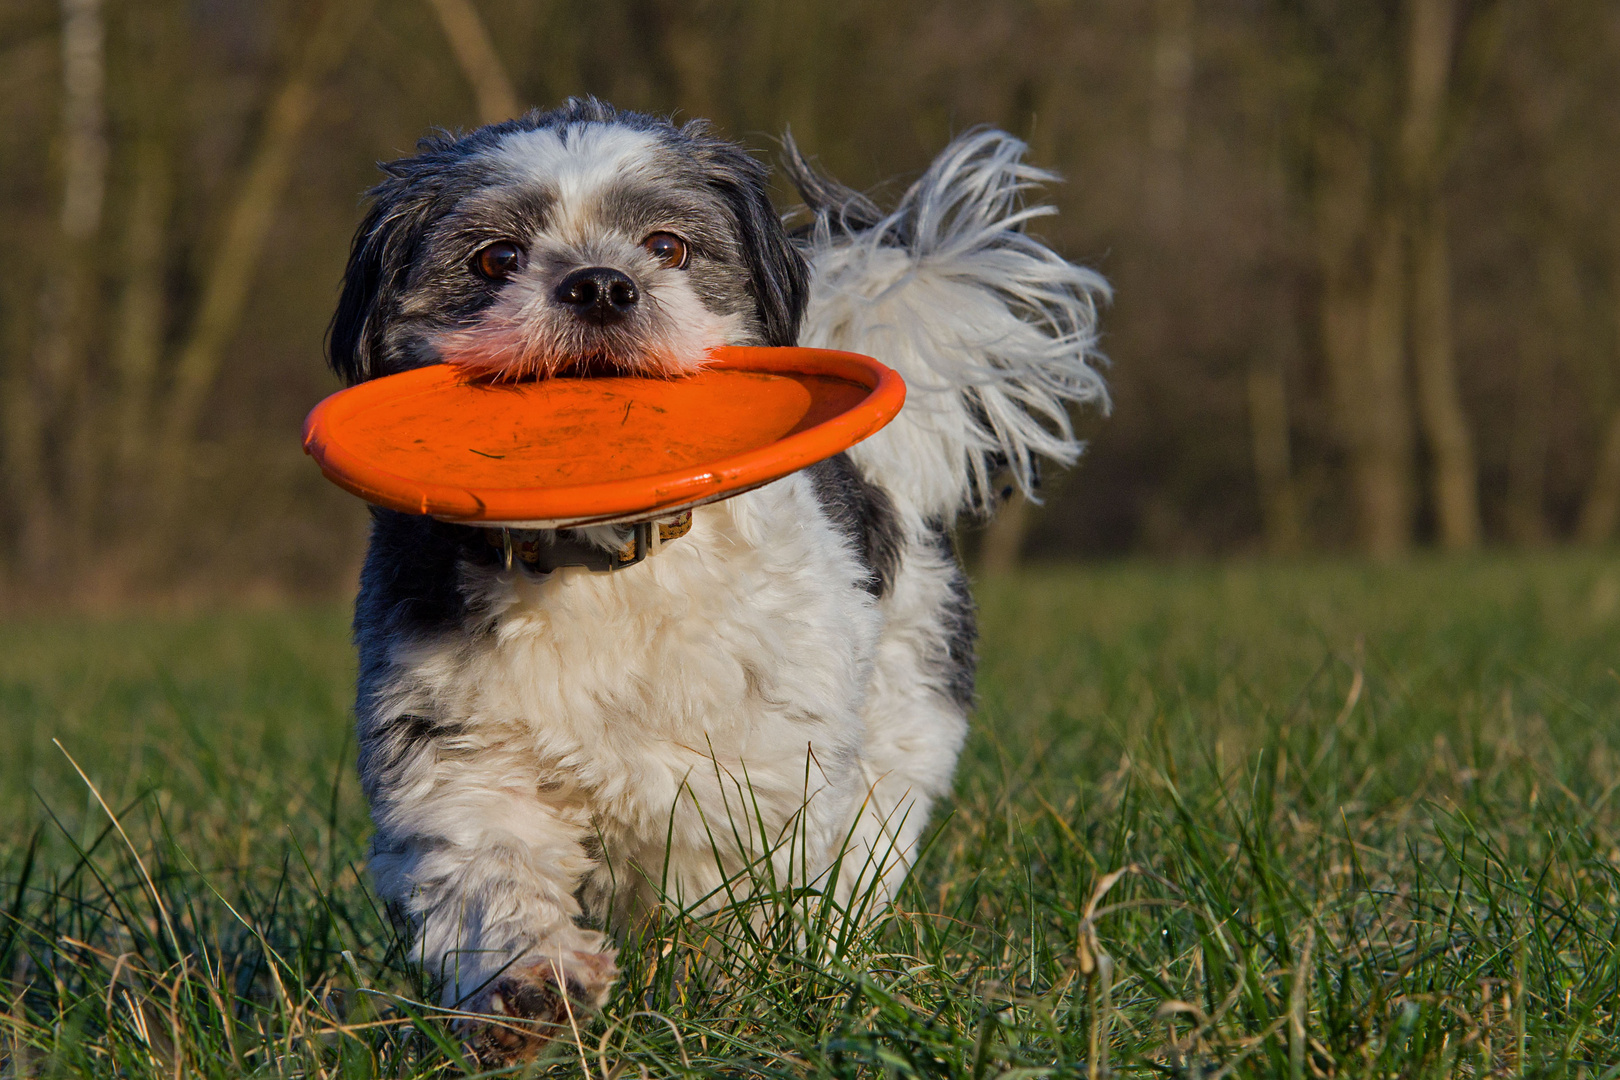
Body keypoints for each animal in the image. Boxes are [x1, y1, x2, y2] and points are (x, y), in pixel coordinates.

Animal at [322, 97, 1108, 1062]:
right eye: (495, 258)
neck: (602, 562)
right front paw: (531, 989)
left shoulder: (749, 773)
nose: (599, 283)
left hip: (901, 736)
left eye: (668, 246)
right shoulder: (456, 754)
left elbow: (725, 887)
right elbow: (487, 869)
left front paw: (729, 1005)